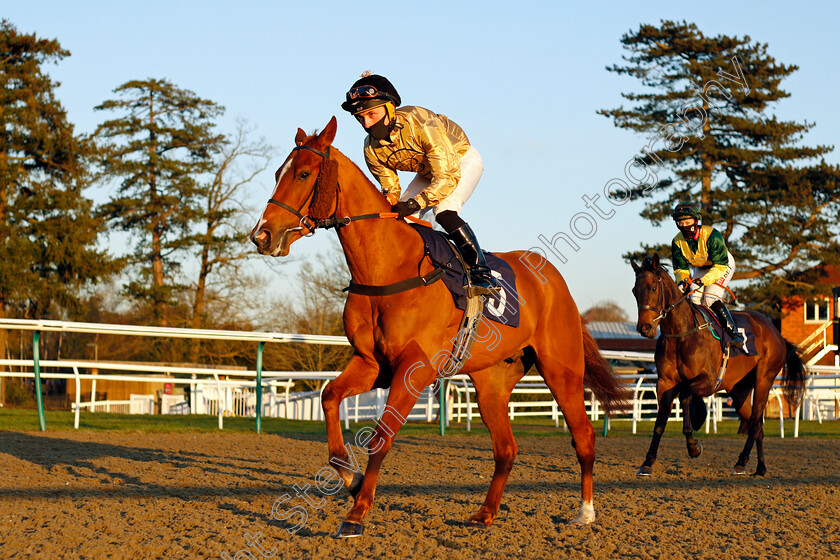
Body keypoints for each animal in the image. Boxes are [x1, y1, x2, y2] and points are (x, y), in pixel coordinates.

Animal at [249, 118, 632, 540]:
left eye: (303, 174)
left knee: (583, 436)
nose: (262, 236)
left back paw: (585, 512)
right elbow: (330, 397)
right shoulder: (372, 363)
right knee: (506, 448)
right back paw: (485, 513)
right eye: (277, 173)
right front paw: (350, 480)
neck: (389, 268)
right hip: (491, 382)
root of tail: (556, 282)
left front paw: (358, 513)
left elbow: (382, 436)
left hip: (561, 370)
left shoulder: (414, 369)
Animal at [632, 254, 808, 476]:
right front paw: (647, 462)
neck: (681, 333)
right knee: (756, 424)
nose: (644, 328)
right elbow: (660, 422)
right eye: (634, 291)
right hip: (739, 391)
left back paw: (741, 462)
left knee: (756, 420)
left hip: (764, 379)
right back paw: (759, 467)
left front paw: (694, 445)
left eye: (653, 288)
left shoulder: (707, 381)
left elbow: (686, 396)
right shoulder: (664, 383)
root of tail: (777, 333)